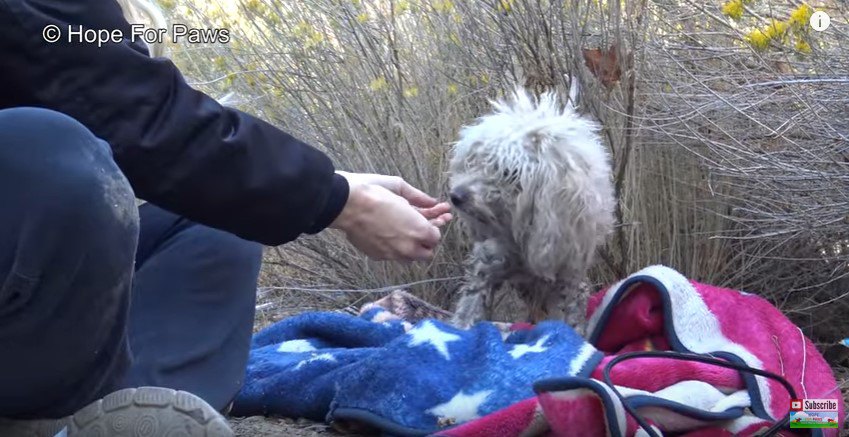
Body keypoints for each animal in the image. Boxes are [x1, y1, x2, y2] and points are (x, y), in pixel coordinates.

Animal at [448, 83, 612, 332]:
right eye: (476, 161)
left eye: (509, 172)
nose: (456, 195)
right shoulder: (486, 265)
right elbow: (470, 306)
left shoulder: (568, 278)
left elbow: (570, 318)